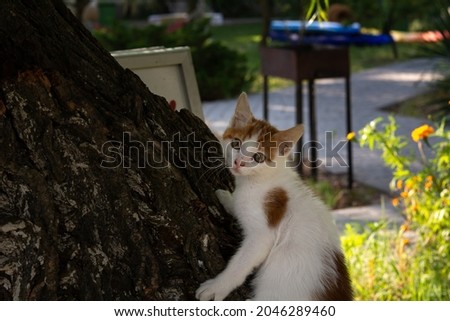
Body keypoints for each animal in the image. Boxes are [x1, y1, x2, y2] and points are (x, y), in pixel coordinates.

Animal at [195, 92, 354, 300]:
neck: (259, 180)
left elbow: (240, 264)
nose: (238, 163)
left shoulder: (263, 234)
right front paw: (227, 197)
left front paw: (216, 287)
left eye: (258, 158)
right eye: (236, 144)